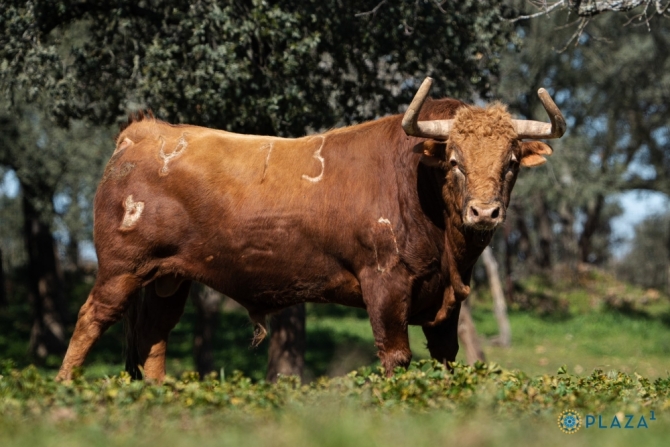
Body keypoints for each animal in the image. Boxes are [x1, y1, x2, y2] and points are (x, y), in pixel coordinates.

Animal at [56, 77, 568, 382]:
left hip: (168, 278)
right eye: (455, 161)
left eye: (510, 163)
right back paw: (65, 390)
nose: (484, 213)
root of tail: (142, 131)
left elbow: (446, 357)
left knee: (153, 337)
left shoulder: (445, 304)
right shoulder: (384, 284)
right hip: (121, 268)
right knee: (89, 319)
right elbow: (395, 357)